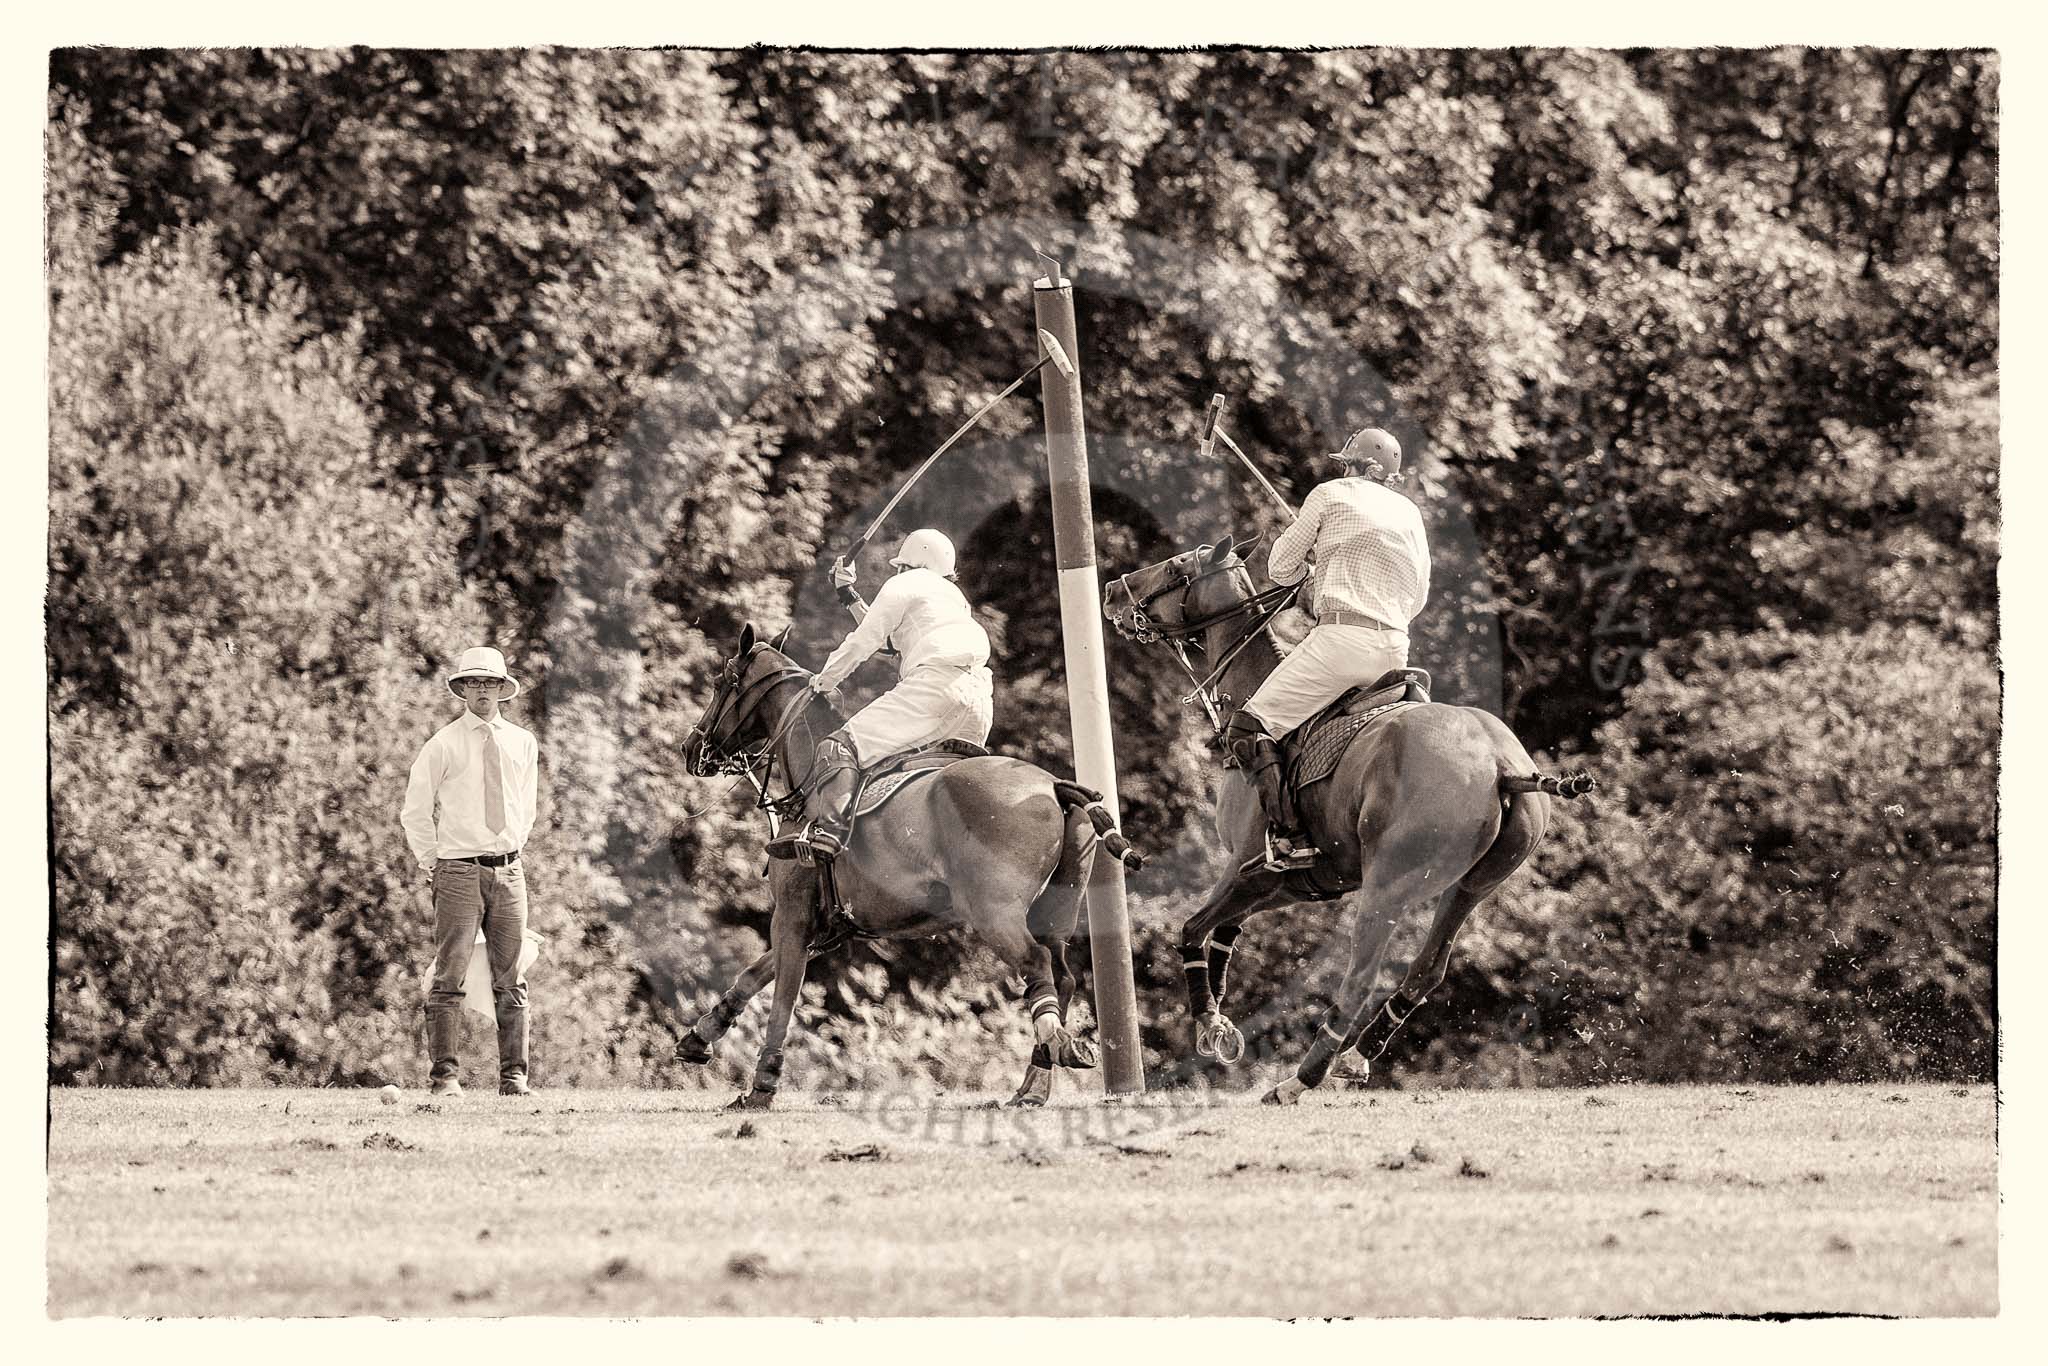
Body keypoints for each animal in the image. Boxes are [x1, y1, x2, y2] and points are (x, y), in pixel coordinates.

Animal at [671, 622, 1130, 1114]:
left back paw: (1056, 1050)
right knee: (1062, 976)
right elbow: (754, 973)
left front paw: (761, 1087)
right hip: (1056, 914)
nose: (690, 747)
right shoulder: (827, 928)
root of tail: (1056, 786)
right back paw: (1033, 1084)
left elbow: (782, 999)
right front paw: (698, 1037)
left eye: (721, 682)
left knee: (1036, 963)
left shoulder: (792, 917)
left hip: (995, 912)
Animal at [1105, 540, 1581, 1105]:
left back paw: (1299, 1079)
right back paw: (1354, 1056)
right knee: (1427, 970)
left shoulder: (1247, 862)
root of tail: (1501, 766)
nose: (1111, 591)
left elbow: (1194, 928)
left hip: (1388, 887)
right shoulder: (1296, 880)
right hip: (1472, 887)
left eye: (1179, 566)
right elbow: (1224, 929)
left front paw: (1211, 1027)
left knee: (1359, 981)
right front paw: (1220, 1022)